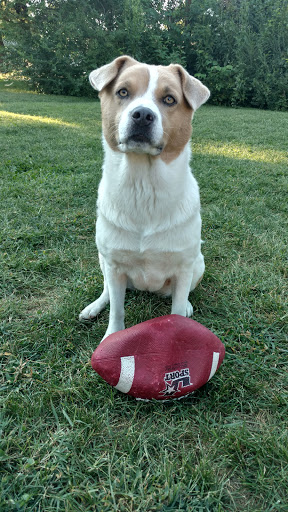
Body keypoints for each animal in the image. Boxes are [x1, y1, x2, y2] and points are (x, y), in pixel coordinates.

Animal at [80, 55, 210, 340]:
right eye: (123, 92)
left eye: (169, 99)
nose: (142, 115)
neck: (143, 186)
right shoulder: (114, 264)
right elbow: (117, 311)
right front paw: (111, 337)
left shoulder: (184, 266)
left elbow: (176, 311)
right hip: (103, 261)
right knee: (107, 291)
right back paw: (93, 307)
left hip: (198, 263)